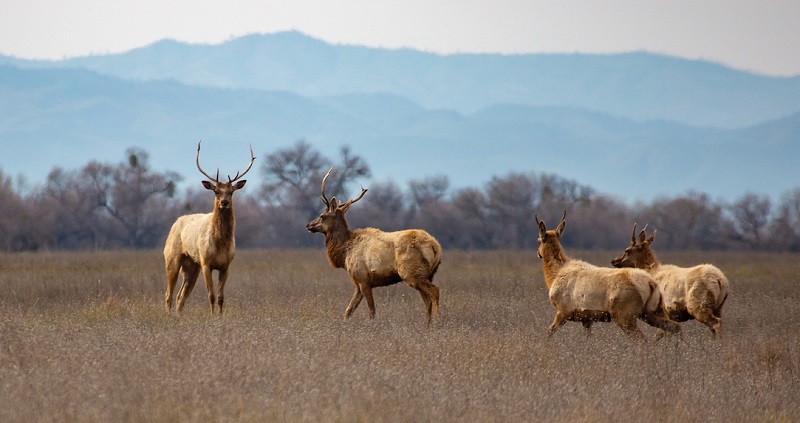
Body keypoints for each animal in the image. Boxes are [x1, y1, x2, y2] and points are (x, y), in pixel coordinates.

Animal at [164, 141, 254, 316]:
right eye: (216, 191)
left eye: (231, 191)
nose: (224, 202)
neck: (220, 244)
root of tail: (175, 223)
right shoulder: (206, 263)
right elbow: (211, 295)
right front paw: (212, 318)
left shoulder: (226, 265)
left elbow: (221, 297)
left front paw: (220, 317)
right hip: (172, 258)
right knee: (168, 294)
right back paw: (168, 317)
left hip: (191, 265)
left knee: (181, 296)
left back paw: (178, 317)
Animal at [306, 167, 442, 325]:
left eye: (322, 216)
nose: (308, 225)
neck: (345, 252)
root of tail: (436, 247)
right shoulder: (358, 283)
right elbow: (348, 311)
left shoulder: (363, 279)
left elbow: (371, 310)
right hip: (428, 274)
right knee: (427, 300)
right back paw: (427, 324)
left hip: (411, 272)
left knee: (434, 292)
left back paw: (437, 322)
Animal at [535, 211, 681, 339]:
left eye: (538, 240)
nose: (538, 253)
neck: (554, 275)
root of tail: (651, 283)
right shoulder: (586, 318)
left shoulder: (563, 310)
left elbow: (548, 333)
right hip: (654, 310)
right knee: (674, 327)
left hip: (625, 314)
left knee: (643, 339)